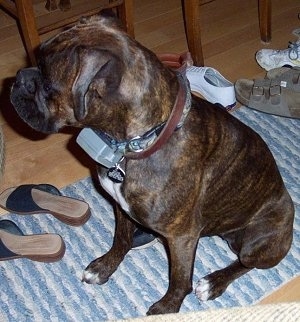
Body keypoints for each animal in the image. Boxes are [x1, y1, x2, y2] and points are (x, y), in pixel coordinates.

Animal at [9, 14, 292, 314]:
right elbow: (120, 238)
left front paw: (167, 308)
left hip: (259, 241)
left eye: (48, 85)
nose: (19, 78)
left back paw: (214, 282)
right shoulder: (120, 206)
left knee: (245, 264)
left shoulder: (182, 238)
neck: (141, 140)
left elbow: (179, 279)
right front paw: (105, 267)